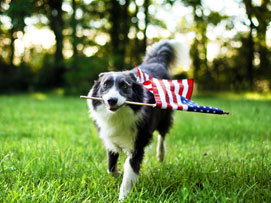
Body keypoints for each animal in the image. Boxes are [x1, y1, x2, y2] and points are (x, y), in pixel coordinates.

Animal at [88, 39, 190, 200]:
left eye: (124, 85)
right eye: (106, 84)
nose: (111, 100)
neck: (119, 114)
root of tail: (156, 62)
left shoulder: (138, 143)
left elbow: (130, 172)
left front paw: (123, 198)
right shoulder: (110, 137)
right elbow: (110, 167)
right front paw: (118, 173)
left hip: (164, 116)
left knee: (162, 134)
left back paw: (160, 155)